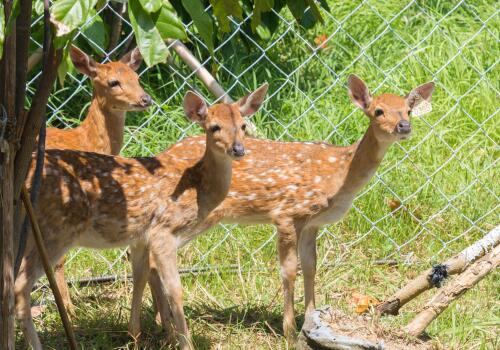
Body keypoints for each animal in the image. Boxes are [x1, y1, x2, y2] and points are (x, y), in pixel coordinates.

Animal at [17, 85, 270, 350]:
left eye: (243, 125)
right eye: (214, 127)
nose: (238, 149)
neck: (197, 188)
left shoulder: (140, 237)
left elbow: (139, 278)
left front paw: (135, 337)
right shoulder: (163, 231)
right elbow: (175, 290)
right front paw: (183, 342)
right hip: (54, 231)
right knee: (20, 287)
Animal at [45, 45, 152, 316]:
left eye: (136, 77)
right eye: (113, 82)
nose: (145, 99)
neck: (85, 141)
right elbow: (59, 260)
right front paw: (68, 310)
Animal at [143, 74, 436, 344]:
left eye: (408, 110)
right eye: (378, 111)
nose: (404, 125)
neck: (340, 174)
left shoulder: (312, 223)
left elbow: (311, 266)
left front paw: (310, 320)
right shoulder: (286, 213)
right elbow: (289, 270)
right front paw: (290, 333)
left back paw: (161, 325)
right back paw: (166, 327)